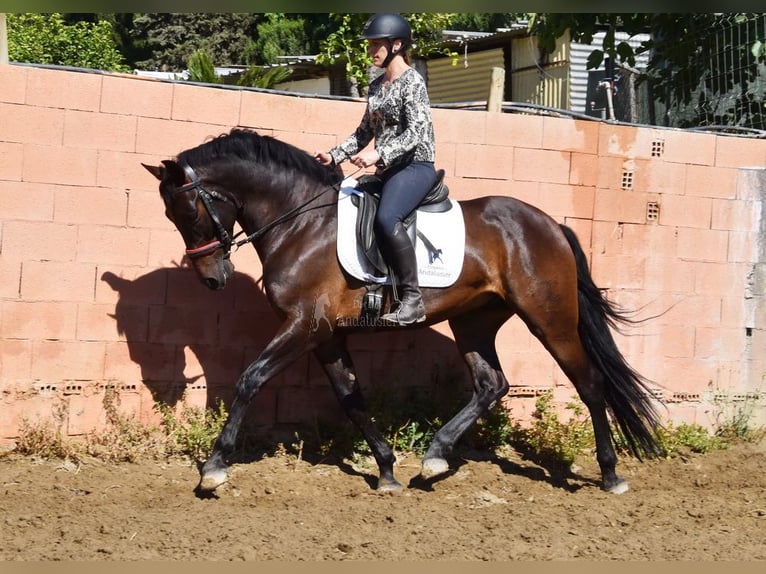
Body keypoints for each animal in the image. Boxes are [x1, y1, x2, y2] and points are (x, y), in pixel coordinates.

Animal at [143, 127, 664, 495]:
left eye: (188, 212)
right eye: (170, 216)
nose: (212, 279)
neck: (300, 222)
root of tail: (550, 224)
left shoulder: (305, 325)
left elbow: (251, 378)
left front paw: (214, 468)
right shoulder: (327, 334)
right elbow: (351, 398)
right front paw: (388, 469)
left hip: (549, 319)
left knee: (590, 384)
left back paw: (611, 474)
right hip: (473, 320)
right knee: (491, 384)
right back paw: (434, 458)